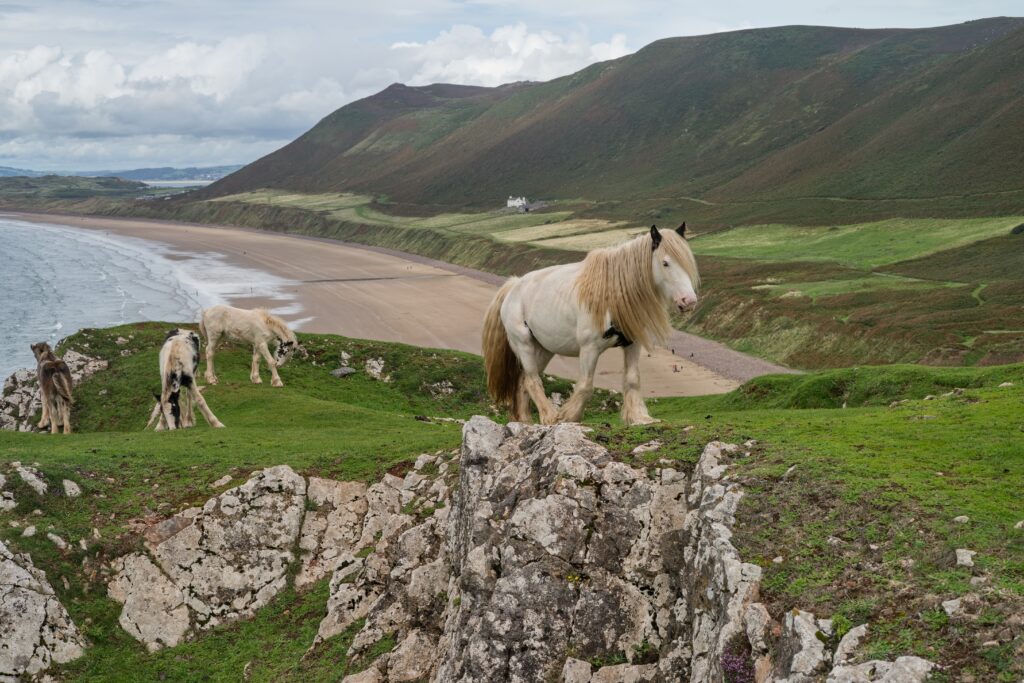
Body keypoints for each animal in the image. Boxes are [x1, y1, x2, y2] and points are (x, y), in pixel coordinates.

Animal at [483, 224, 700, 428]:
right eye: (665, 263)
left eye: (688, 262)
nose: (688, 301)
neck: (613, 295)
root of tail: (514, 285)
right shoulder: (590, 348)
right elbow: (586, 385)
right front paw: (569, 416)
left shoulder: (633, 343)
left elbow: (632, 379)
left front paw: (639, 417)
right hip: (524, 345)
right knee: (532, 380)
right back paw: (550, 416)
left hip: (543, 350)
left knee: (523, 382)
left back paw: (526, 421)